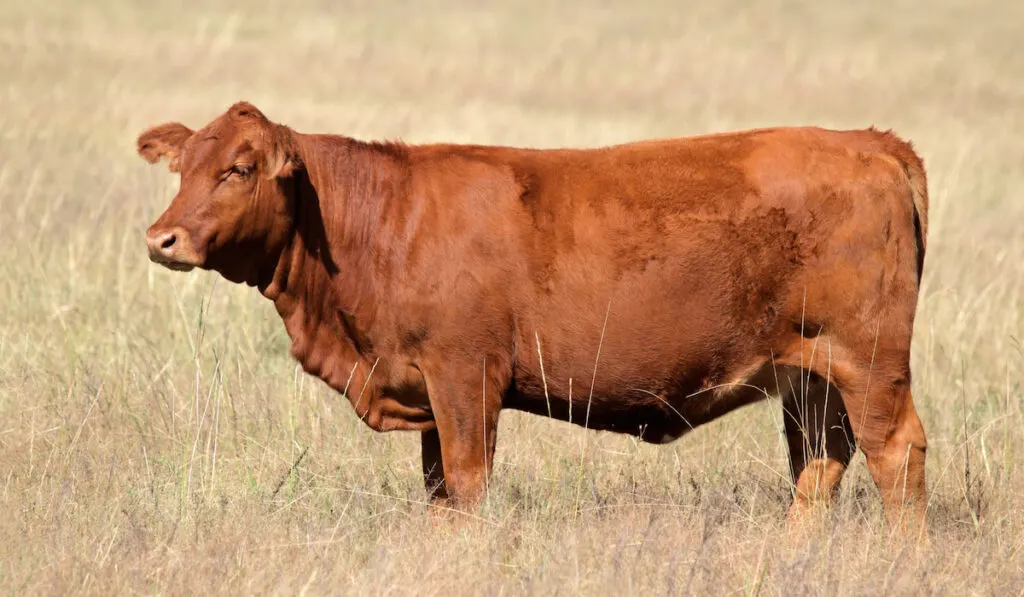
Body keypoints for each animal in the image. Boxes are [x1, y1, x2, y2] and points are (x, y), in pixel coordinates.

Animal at [140, 100, 933, 536]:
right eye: (183, 168)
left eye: (240, 168)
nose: (162, 238)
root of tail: (868, 142)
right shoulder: (428, 392)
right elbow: (439, 494)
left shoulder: (464, 375)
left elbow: (467, 486)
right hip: (812, 374)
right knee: (821, 462)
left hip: (870, 362)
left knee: (896, 453)